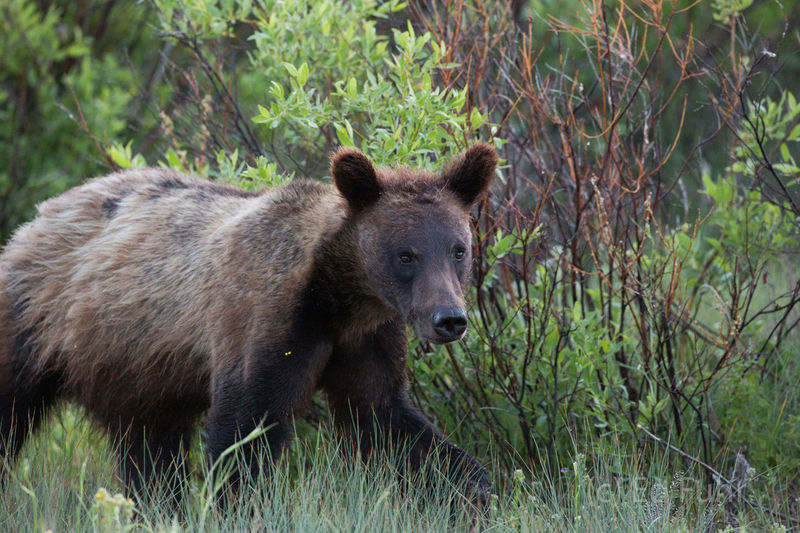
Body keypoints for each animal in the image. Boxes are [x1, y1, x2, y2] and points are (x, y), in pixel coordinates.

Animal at [0, 143, 497, 502]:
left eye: (458, 249)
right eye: (406, 255)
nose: (450, 319)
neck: (337, 296)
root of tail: (42, 213)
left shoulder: (366, 339)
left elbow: (386, 418)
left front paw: (476, 490)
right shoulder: (264, 317)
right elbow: (245, 429)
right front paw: (242, 503)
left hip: (133, 366)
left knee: (150, 445)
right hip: (37, 316)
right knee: (12, 406)